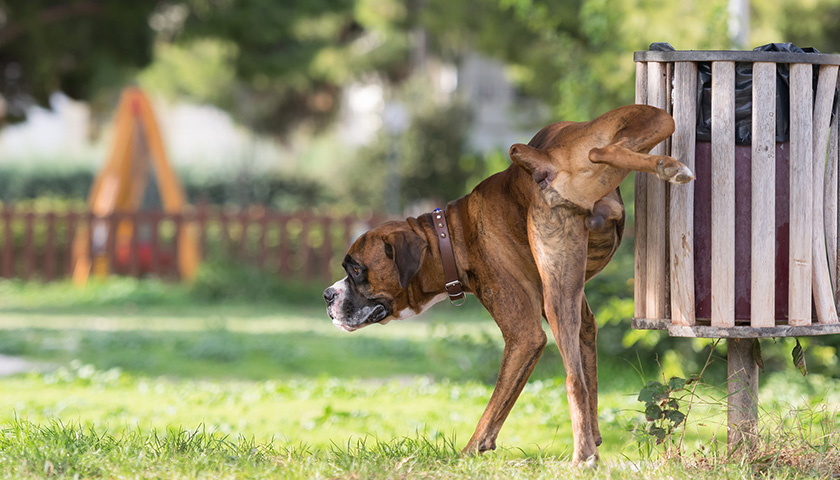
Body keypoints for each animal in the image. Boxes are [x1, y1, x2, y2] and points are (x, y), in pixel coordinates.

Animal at [324, 105, 692, 464]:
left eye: (356, 269)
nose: (328, 295)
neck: (450, 236)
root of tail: (545, 158)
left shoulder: (523, 336)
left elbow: (495, 407)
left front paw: (468, 453)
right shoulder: (583, 321)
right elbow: (591, 378)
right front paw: (595, 439)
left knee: (573, 381)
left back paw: (580, 456)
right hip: (651, 122)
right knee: (604, 150)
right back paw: (667, 166)